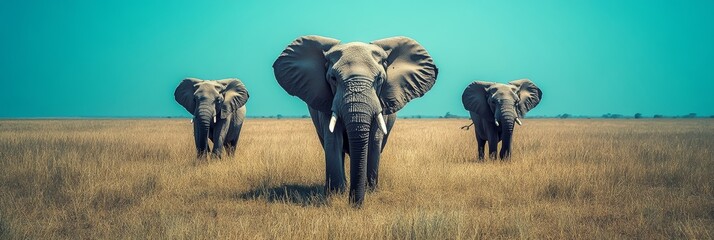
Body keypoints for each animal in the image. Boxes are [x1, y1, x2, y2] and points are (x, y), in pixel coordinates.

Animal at [272, 35, 436, 206]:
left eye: (379, 79)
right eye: (333, 78)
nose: (354, 203)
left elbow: (374, 141)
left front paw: (370, 191)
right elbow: (333, 140)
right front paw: (336, 194)